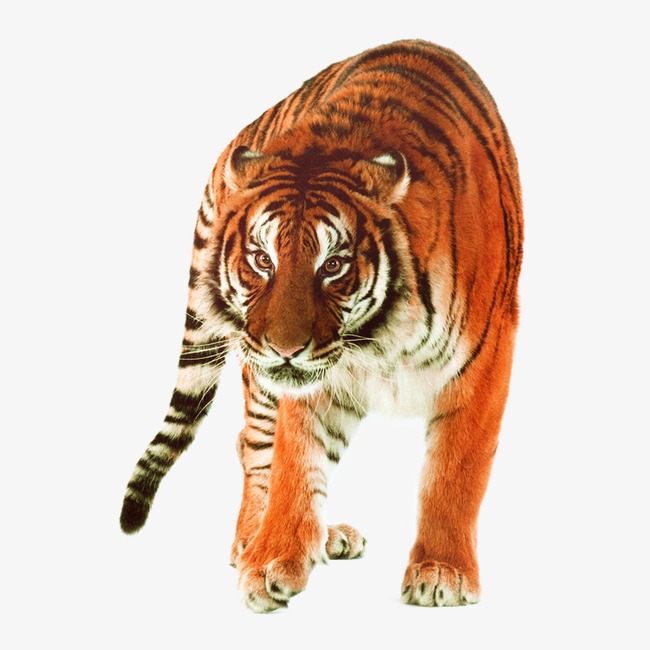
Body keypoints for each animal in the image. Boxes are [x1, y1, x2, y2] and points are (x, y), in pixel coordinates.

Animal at [120, 39, 523, 612]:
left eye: (332, 265)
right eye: (262, 259)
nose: (284, 348)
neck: (381, 342)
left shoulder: (483, 361)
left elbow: (454, 471)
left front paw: (441, 572)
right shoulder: (306, 379)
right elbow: (295, 461)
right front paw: (271, 559)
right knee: (253, 444)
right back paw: (253, 540)